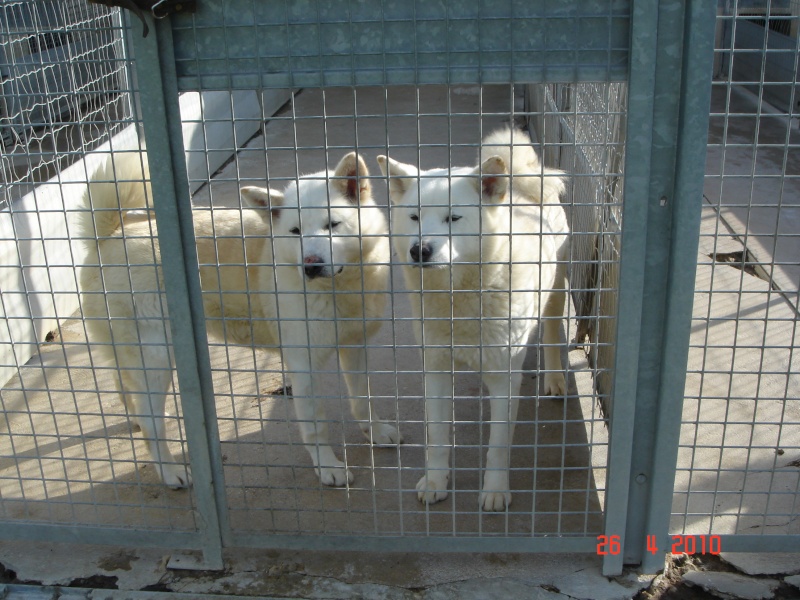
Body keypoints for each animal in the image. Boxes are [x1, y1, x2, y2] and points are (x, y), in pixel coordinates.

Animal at [79, 149, 400, 488]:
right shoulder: (304, 365)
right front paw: (328, 466)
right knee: (151, 422)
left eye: (333, 224)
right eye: (295, 231)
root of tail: (109, 236)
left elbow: (362, 398)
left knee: (128, 390)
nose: (310, 265)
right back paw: (170, 471)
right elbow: (317, 424)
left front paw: (376, 432)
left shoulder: (354, 347)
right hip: (157, 356)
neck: (341, 288)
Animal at [376, 126, 568, 510]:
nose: (419, 250)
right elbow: (437, 436)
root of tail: (522, 182)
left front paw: (495, 491)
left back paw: (554, 378)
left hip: (557, 288)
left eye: (453, 218)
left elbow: (498, 446)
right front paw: (436, 481)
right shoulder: (435, 370)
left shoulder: (505, 378)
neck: (459, 297)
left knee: (553, 331)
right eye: (415, 217)